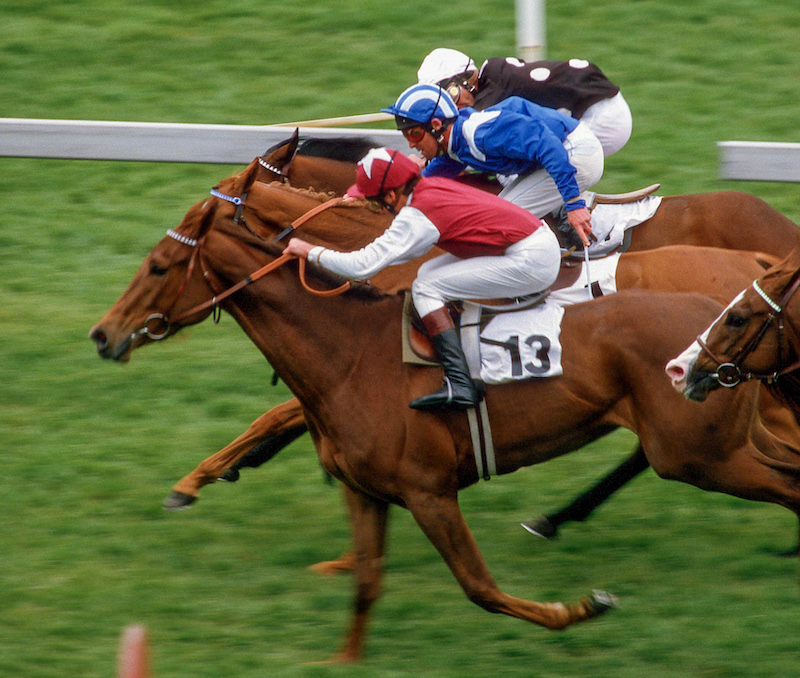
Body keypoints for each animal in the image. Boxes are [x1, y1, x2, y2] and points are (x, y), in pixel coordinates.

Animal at [92, 182, 800, 664]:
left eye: (158, 267)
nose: (103, 335)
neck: (348, 350)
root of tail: (731, 297)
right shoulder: (368, 490)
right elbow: (368, 580)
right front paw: (342, 653)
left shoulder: (428, 490)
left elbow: (480, 586)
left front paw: (578, 607)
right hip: (725, 437)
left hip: (699, 455)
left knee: (785, 482)